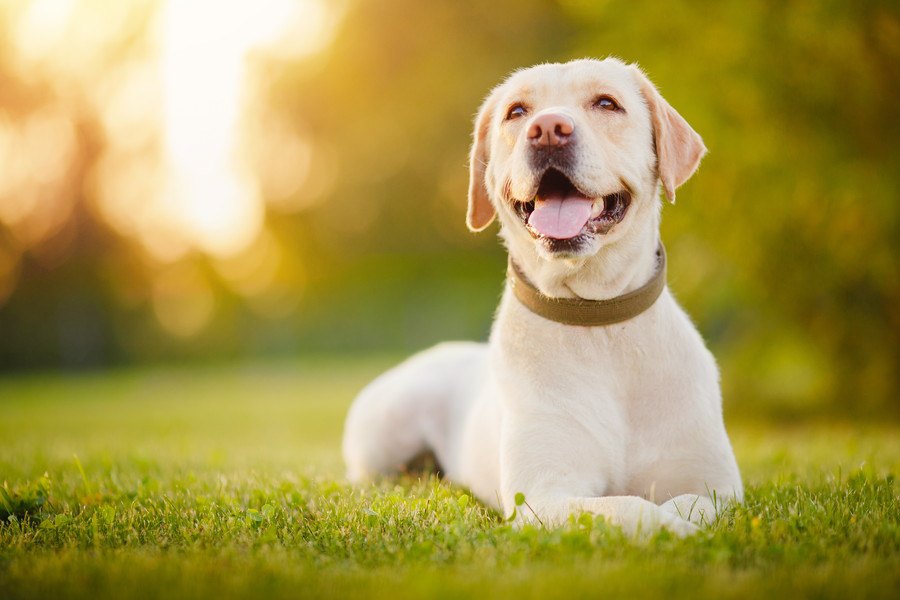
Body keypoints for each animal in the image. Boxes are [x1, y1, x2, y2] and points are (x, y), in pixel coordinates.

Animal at [342, 58, 740, 536]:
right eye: (516, 111)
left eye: (607, 103)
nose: (548, 129)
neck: (597, 318)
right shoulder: (543, 497)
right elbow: (630, 508)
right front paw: (675, 532)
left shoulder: (718, 485)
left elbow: (690, 504)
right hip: (381, 437)